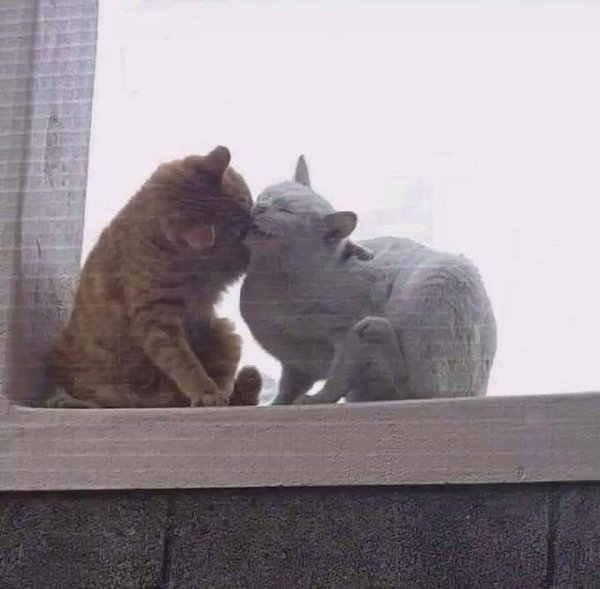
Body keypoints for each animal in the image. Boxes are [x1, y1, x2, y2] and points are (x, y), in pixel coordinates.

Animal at [48, 145, 261, 408]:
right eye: (235, 233)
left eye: (246, 200)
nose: (252, 222)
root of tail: (158, 401)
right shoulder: (156, 319)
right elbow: (183, 361)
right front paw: (204, 390)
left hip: (223, 331)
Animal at [240, 156, 497, 404]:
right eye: (266, 195)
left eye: (285, 210)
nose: (259, 207)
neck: (276, 283)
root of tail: (480, 390)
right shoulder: (297, 365)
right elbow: (288, 388)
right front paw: (277, 404)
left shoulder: (347, 338)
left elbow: (336, 379)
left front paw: (317, 399)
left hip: (439, 284)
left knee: (421, 390)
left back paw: (379, 330)